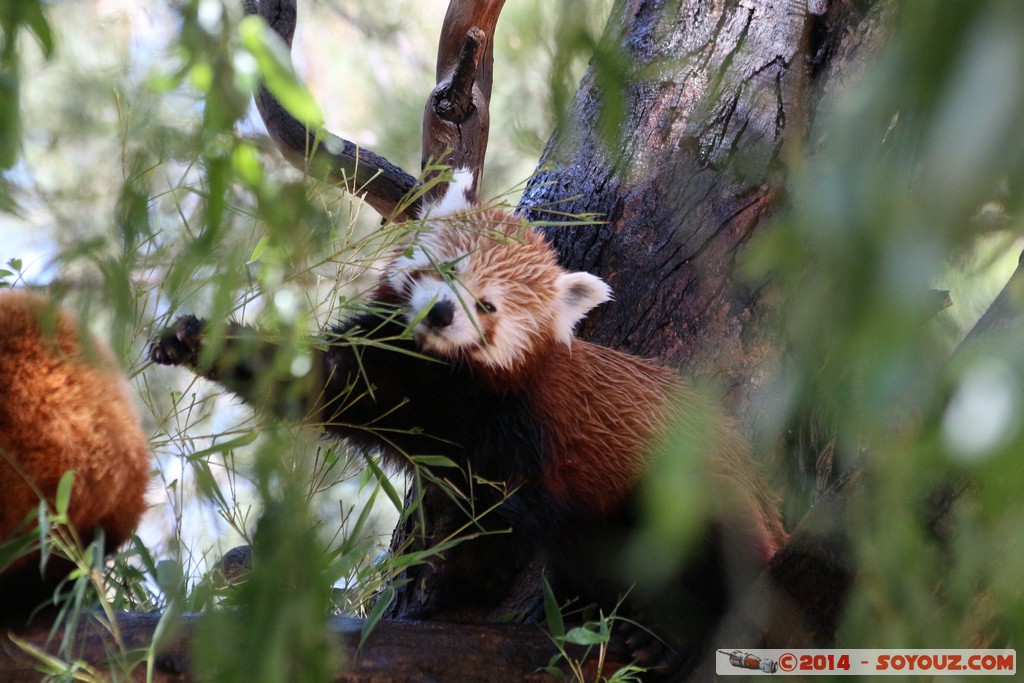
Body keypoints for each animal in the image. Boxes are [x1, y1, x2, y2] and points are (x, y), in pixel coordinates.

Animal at [149, 178, 782, 679]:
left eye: (488, 305)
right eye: (447, 271)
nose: (441, 313)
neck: (443, 376)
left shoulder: (520, 431)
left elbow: (498, 520)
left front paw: (452, 599)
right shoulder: (389, 374)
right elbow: (314, 380)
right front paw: (194, 338)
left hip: (688, 490)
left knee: (710, 561)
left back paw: (658, 635)